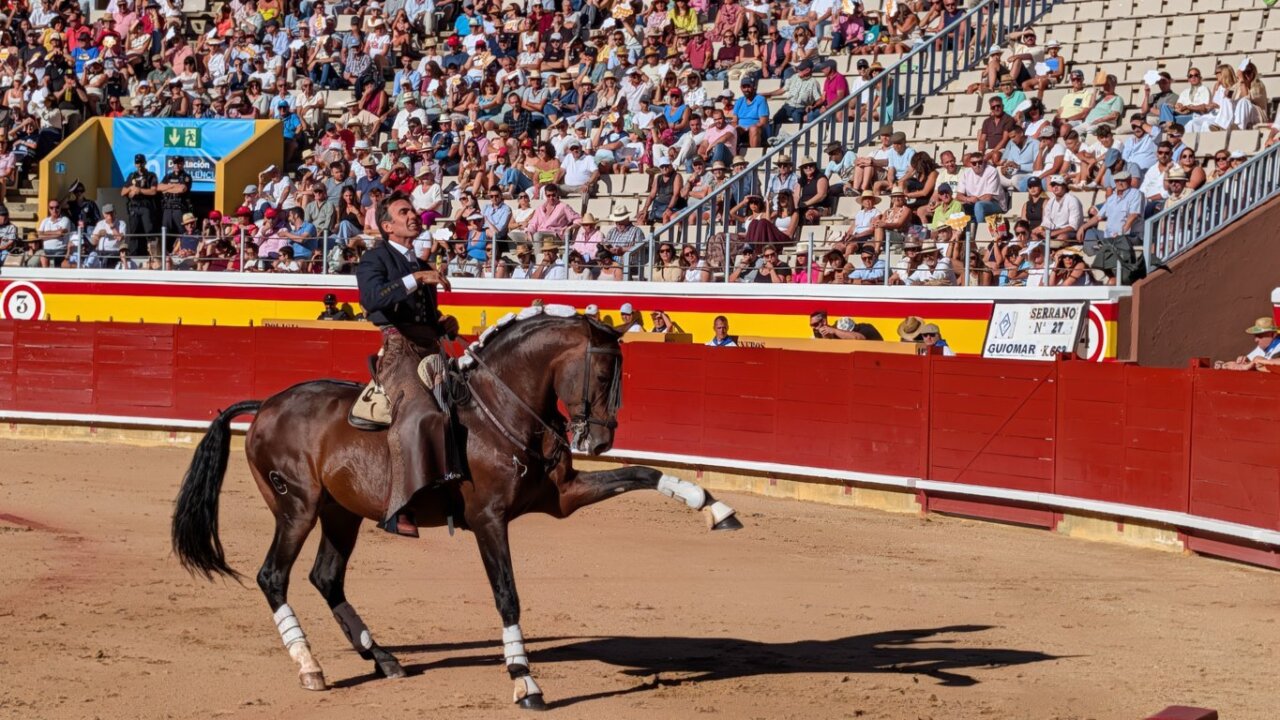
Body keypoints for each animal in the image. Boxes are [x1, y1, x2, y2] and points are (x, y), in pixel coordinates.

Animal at [171, 306, 744, 710]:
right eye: (603, 374)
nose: (599, 440)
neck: (503, 411)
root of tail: (267, 403)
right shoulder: (488, 519)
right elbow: (507, 594)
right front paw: (525, 681)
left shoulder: (562, 497)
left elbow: (643, 474)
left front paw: (715, 509)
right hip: (298, 507)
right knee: (273, 576)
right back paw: (310, 667)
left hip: (341, 512)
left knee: (325, 576)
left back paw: (383, 659)